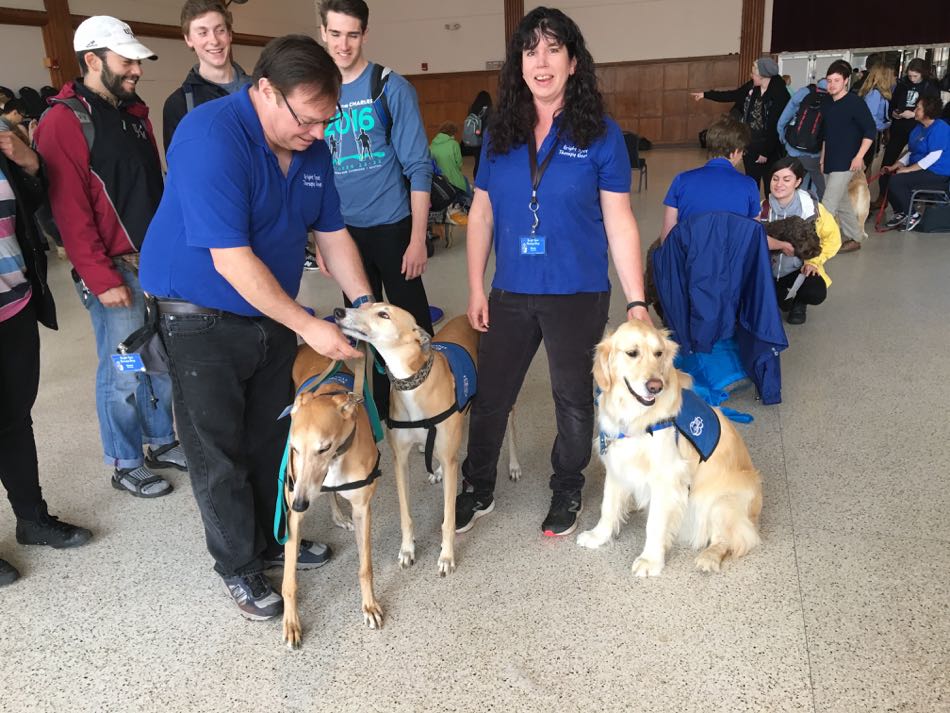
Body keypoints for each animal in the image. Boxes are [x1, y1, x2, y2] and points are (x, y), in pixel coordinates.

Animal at [576, 320, 764, 576]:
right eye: (632, 353)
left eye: (659, 354)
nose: (655, 386)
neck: (636, 417)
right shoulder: (617, 464)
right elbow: (608, 507)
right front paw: (598, 536)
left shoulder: (666, 477)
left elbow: (654, 524)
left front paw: (650, 560)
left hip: (720, 501)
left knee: (737, 539)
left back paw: (709, 557)